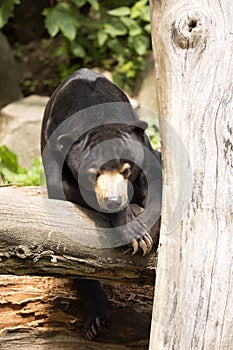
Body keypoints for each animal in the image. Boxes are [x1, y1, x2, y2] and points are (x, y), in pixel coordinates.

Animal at [40, 67, 162, 340]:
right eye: (93, 173)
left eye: (126, 170)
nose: (114, 200)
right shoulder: (54, 148)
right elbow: (65, 188)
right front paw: (135, 232)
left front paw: (146, 230)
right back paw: (94, 320)